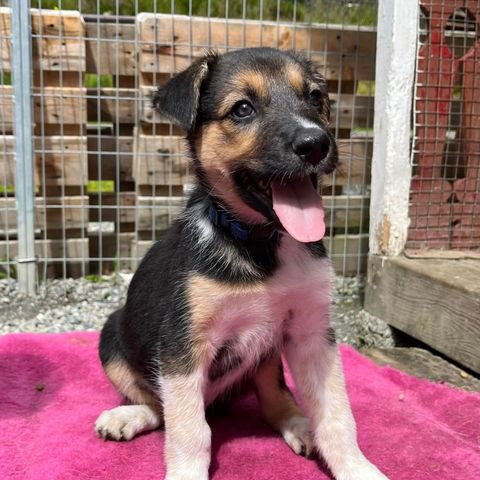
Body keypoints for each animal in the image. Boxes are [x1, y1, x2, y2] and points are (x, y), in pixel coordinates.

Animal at [95, 47, 388, 480]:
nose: (315, 144)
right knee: (158, 406)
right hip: (112, 337)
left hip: (266, 353)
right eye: (243, 109)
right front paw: (186, 474)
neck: (262, 245)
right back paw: (126, 417)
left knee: (274, 397)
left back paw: (299, 424)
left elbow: (336, 415)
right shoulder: (182, 347)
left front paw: (355, 467)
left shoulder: (312, 334)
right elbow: (190, 431)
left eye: (315, 97)